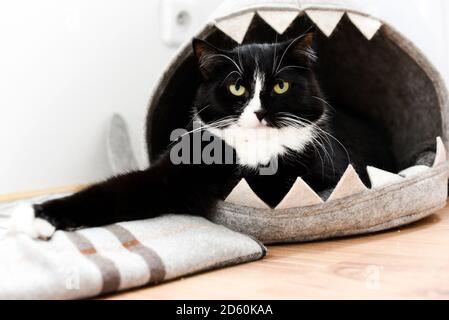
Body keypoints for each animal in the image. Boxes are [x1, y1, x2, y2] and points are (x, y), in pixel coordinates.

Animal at [8, 32, 394, 239]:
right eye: (237, 87)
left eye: (280, 86)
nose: (258, 112)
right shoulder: (175, 170)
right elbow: (119, 190)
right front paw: (36, 216)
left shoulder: (331, 168)